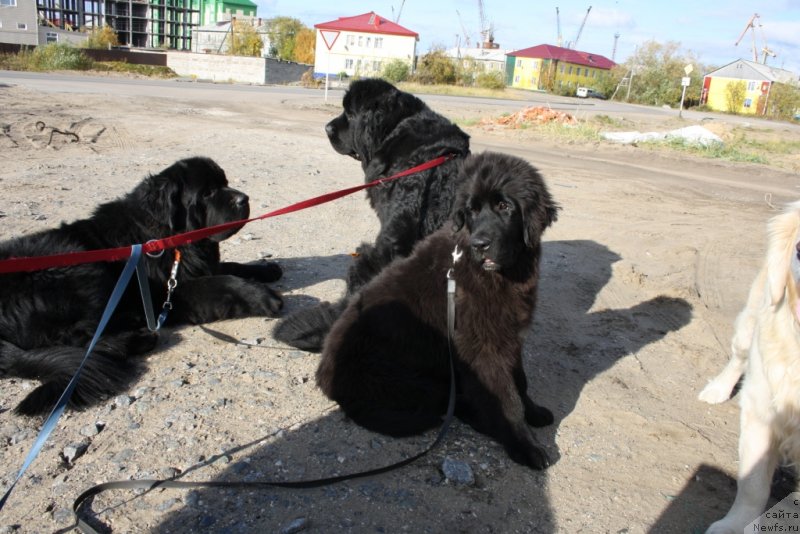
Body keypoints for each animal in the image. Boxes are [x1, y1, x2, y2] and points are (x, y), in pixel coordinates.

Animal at [0, 157, 282, 416]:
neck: (166, 236)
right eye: (207, 193)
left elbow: (231, 266)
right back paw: (136, 337)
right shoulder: (164, 293)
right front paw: (263, 296)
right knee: (80, 338)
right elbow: (219, 282)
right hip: (78, 267)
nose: (244, 199)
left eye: (224, 183)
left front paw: (268, 269)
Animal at [316, 153, 560, 472]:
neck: (502, 274)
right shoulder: (481, 346)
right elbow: (506, 396)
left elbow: (520, 381)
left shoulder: (509, 334)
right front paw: (524, 444)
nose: (479, 244)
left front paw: (534, 412)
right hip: (413, 379)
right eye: (472, 211)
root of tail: (327, 380)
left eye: (505, 207)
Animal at [696, 202, 800, 534]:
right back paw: (716, 390)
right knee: (739, 356)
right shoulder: (761, 409)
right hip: (751, 322)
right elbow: (752, 485)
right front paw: (734, 526)